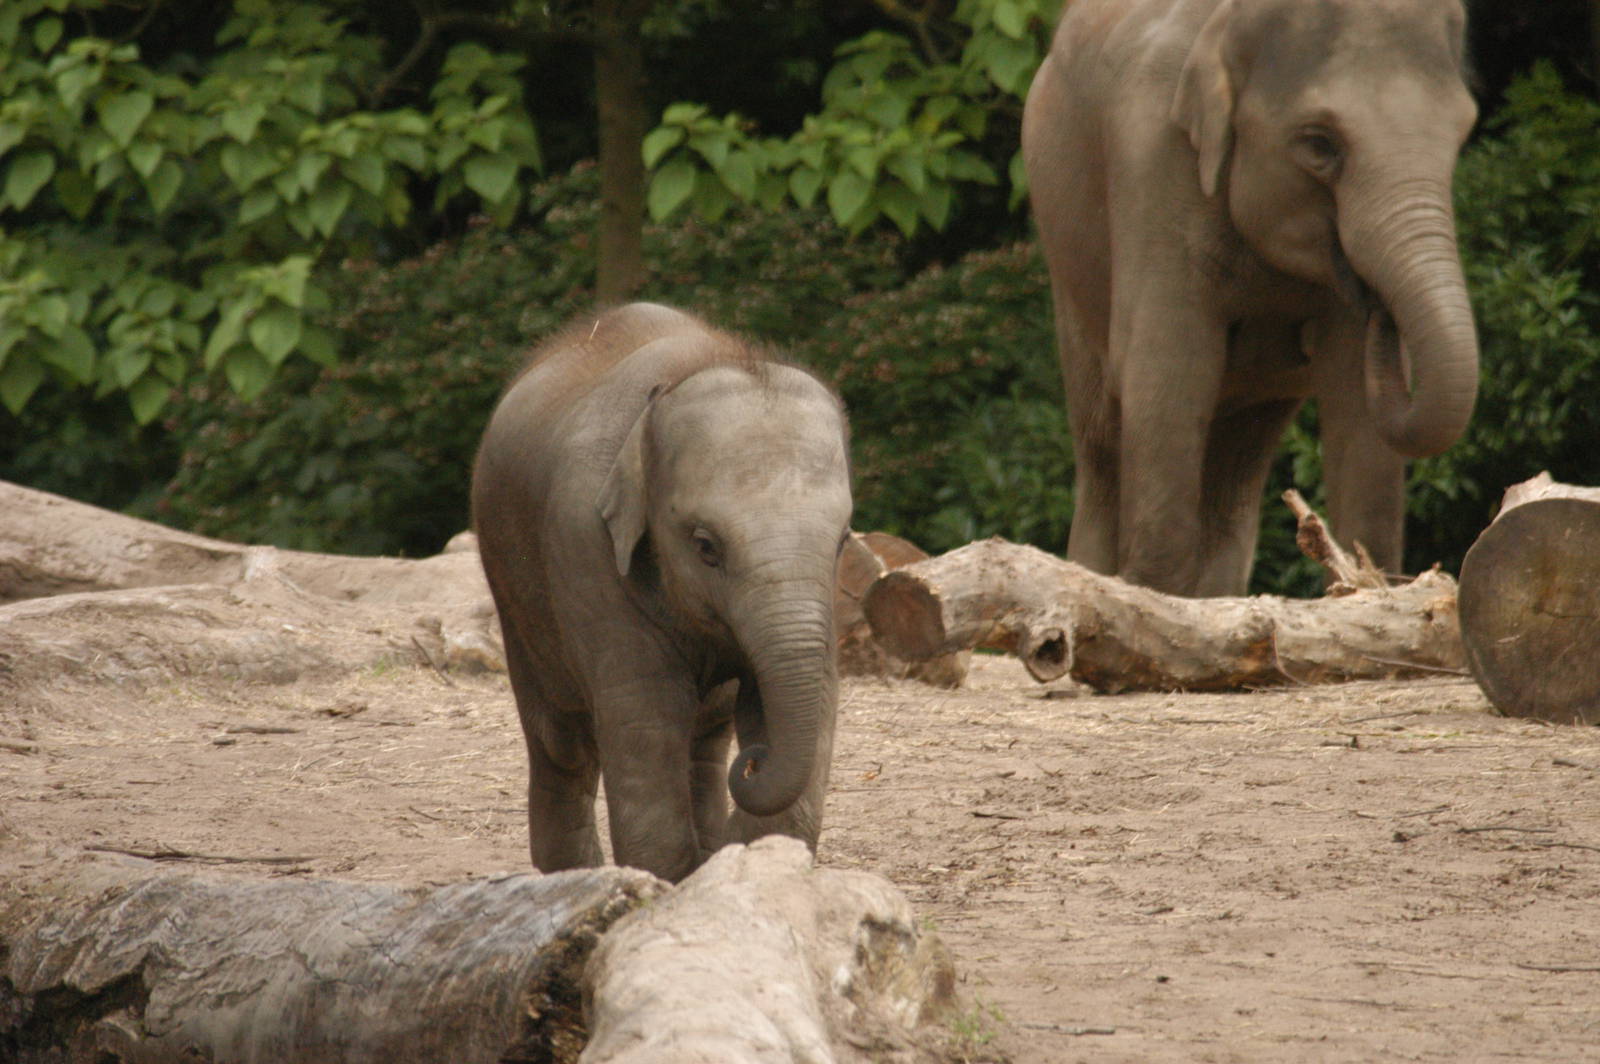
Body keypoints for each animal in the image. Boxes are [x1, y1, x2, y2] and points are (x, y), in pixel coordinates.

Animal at [471, 302, 854, 883]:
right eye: (705, 546)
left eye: (843, 541)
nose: (753, 761)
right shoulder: (584, 546)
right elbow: (646, 714)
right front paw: (666, 883)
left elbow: (809, 696)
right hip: (510, 585)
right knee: (563, 741)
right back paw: (573, 876)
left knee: (706, 734)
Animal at [1022, 0, 1480, 596]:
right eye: (1319, 144)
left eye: (1461, 134)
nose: (1377, 305)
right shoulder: (1151, 161)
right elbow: (1169, 371)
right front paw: (1155, 602)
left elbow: (1352, 396)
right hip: (1065, 266)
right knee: (1102, 443)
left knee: (1236, 465)